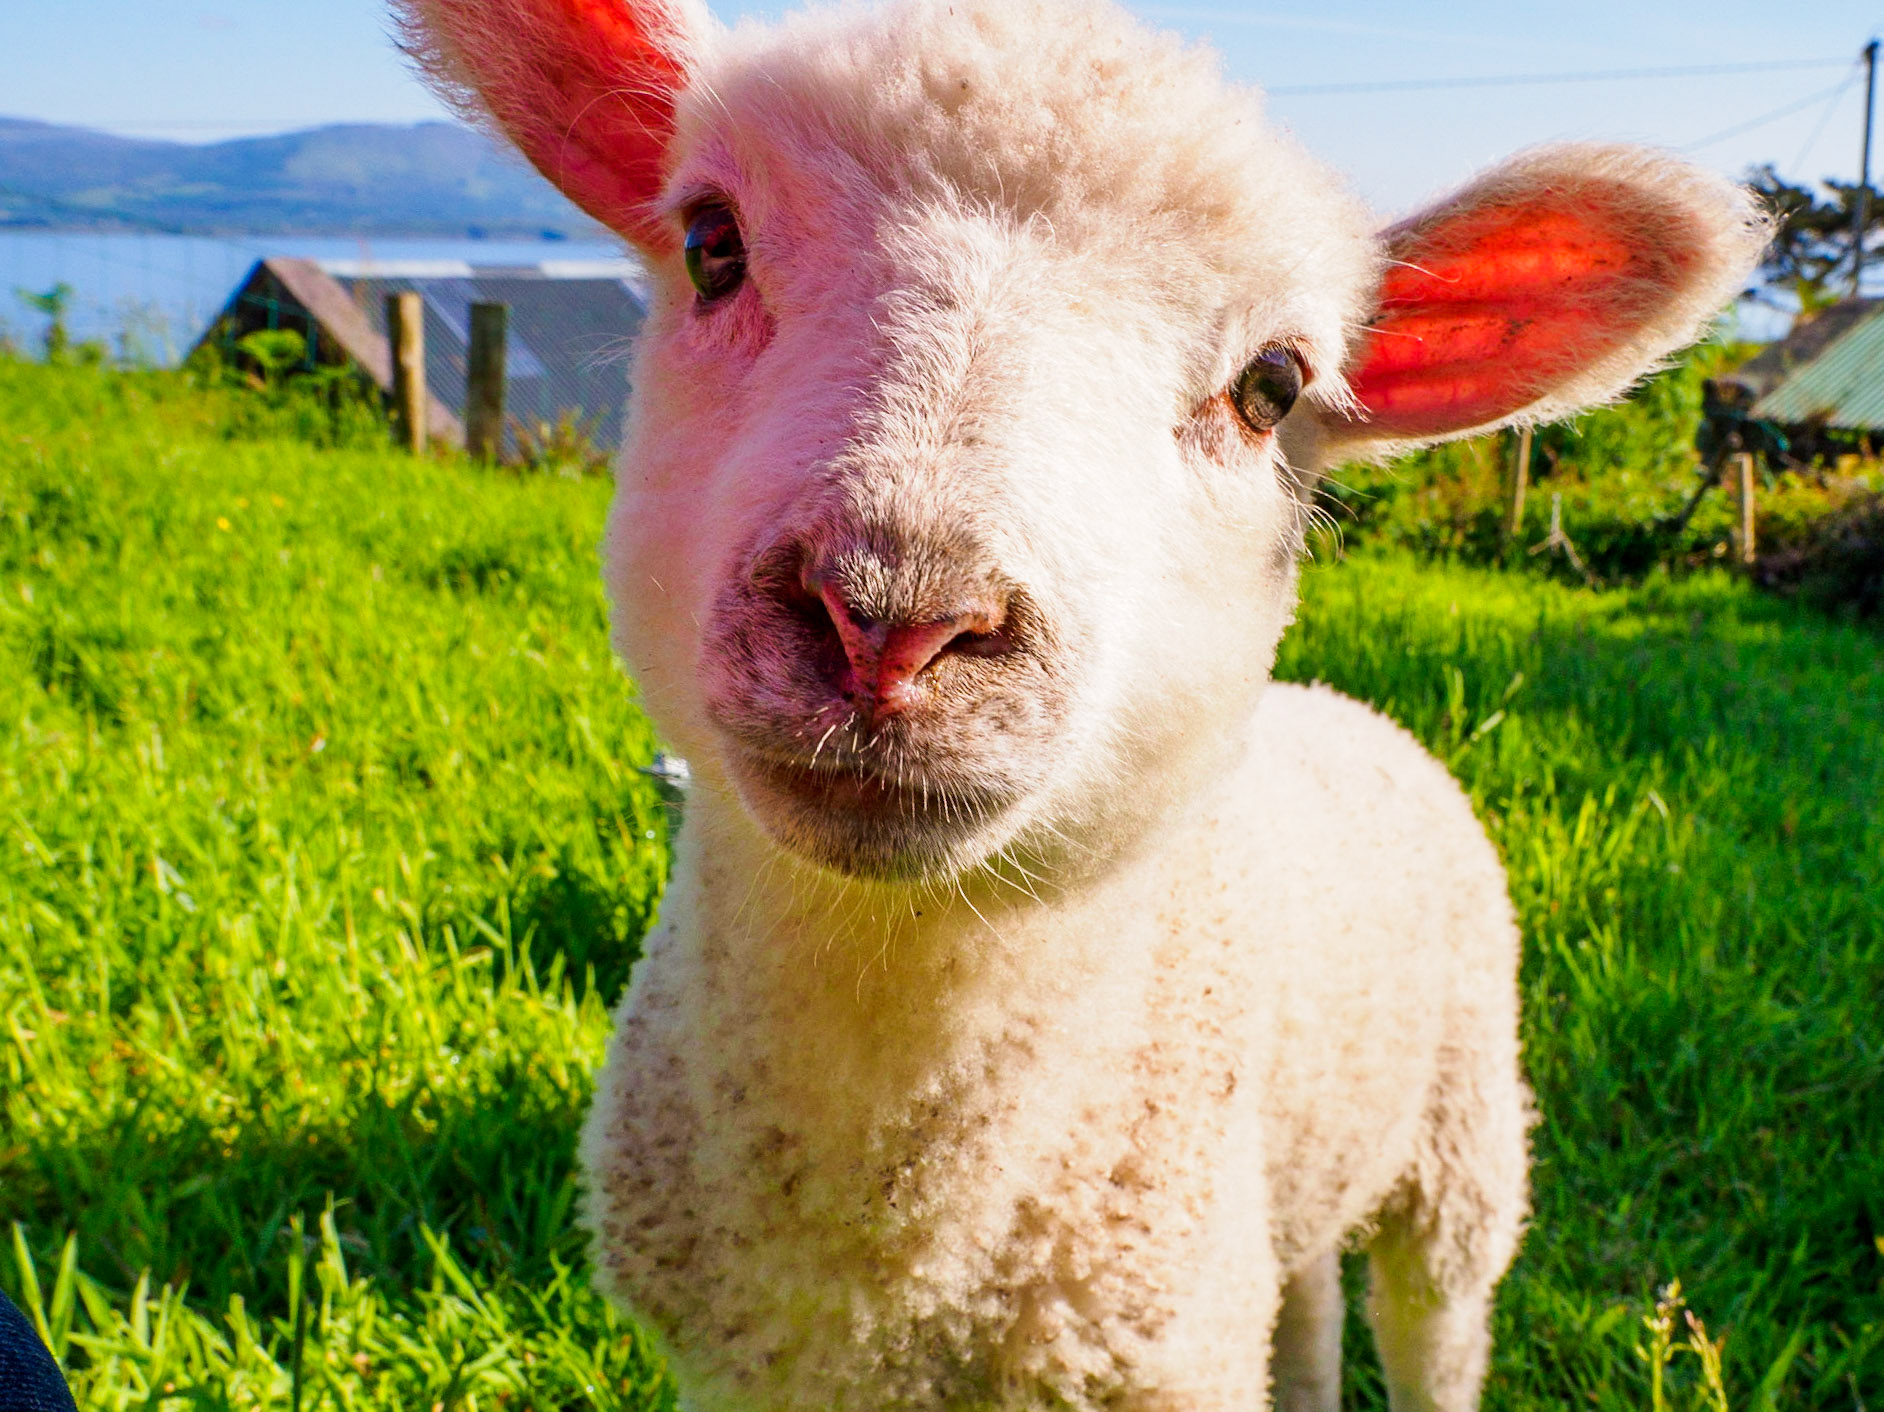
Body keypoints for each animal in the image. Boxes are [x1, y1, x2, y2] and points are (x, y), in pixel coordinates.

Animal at [394, 1, 1764, 1407]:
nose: (893, 618)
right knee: (1310, 1298)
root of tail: (1346, 707)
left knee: (1434, 1322)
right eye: (712, 244)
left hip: (1464, 1140)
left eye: (1274, 386)